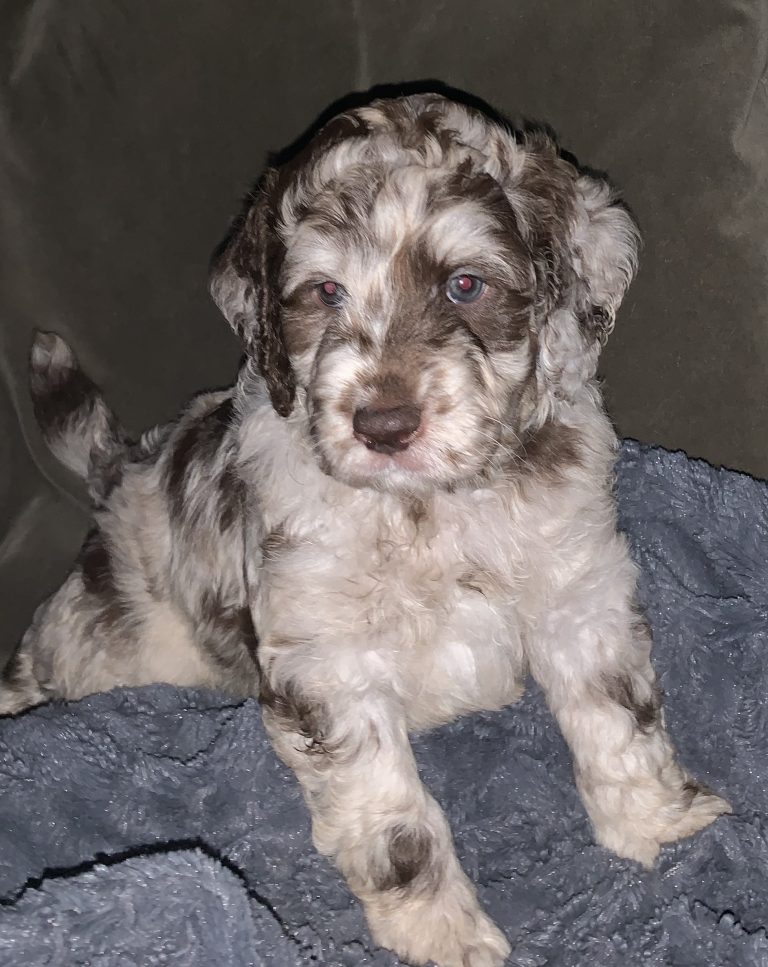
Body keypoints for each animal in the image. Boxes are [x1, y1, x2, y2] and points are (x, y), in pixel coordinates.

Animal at [1, 96, 732, 967]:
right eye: (324, 291)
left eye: (464, 284)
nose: (383, 423)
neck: (428, 507)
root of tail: (119, 474)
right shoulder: (328, 663)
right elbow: (392, 818)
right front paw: (443, 934)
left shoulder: (579, 593)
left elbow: (620, 718)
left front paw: (661, 822)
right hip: (102, 644)